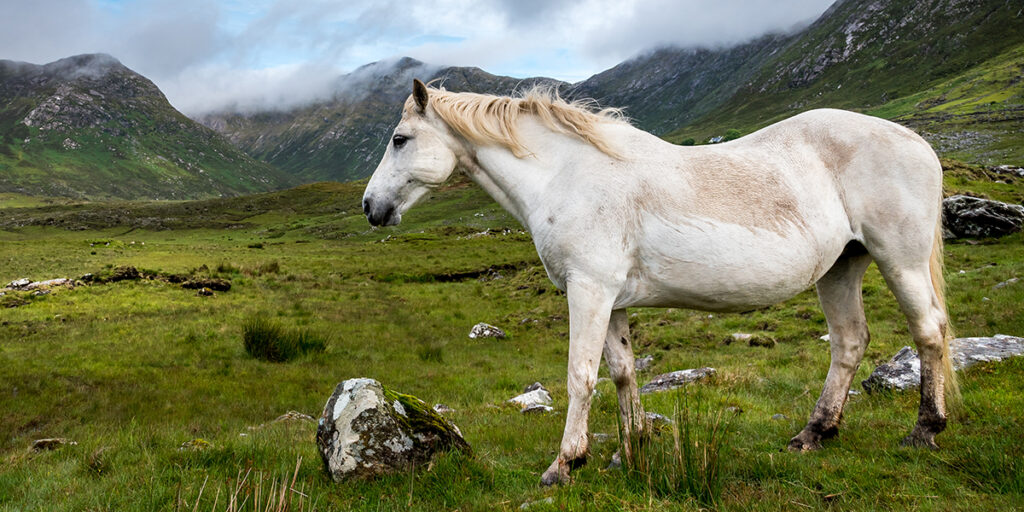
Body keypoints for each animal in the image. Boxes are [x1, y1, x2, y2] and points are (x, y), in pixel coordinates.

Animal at [362, 78, 958, 483]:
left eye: (400, 139)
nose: (370, 207)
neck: (566, 175)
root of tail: (916, 142)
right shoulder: (612, 300)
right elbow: (623, 373)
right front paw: (628, 452)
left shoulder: (588, 291)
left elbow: (581, 376)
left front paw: (564, 463)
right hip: (841, 267)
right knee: (850, 342)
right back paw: (814, 433)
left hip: (898, 260)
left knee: (929, 332)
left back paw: (925, 430)